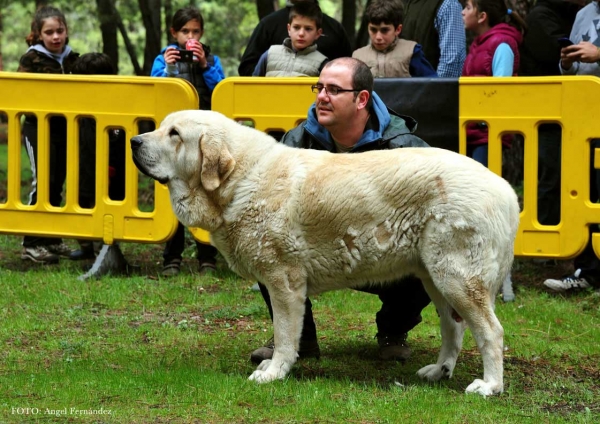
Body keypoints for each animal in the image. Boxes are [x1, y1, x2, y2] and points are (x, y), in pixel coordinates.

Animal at [131, 110, 520, 398]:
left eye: (175, 134)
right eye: (162, 127)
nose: (134, 141)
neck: (240, 180)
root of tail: (505, 189)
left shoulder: (283, 280)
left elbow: (285, 333)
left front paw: (275, 372)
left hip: (456, 277)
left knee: (491, 331)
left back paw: (490, 386)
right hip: (435, 278)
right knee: (453, 327)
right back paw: (439, 371)